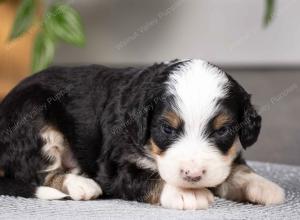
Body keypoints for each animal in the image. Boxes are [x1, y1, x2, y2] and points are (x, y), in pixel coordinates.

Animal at [0, 59, 284, 209]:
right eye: (167, 129)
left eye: (222, 130)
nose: (192, 175)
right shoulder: (115, 166)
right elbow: (147, 178)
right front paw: (188, 193)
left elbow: (236, 169)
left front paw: (263, 186)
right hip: (36, 120)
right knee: (38, 173)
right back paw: (80, 184)